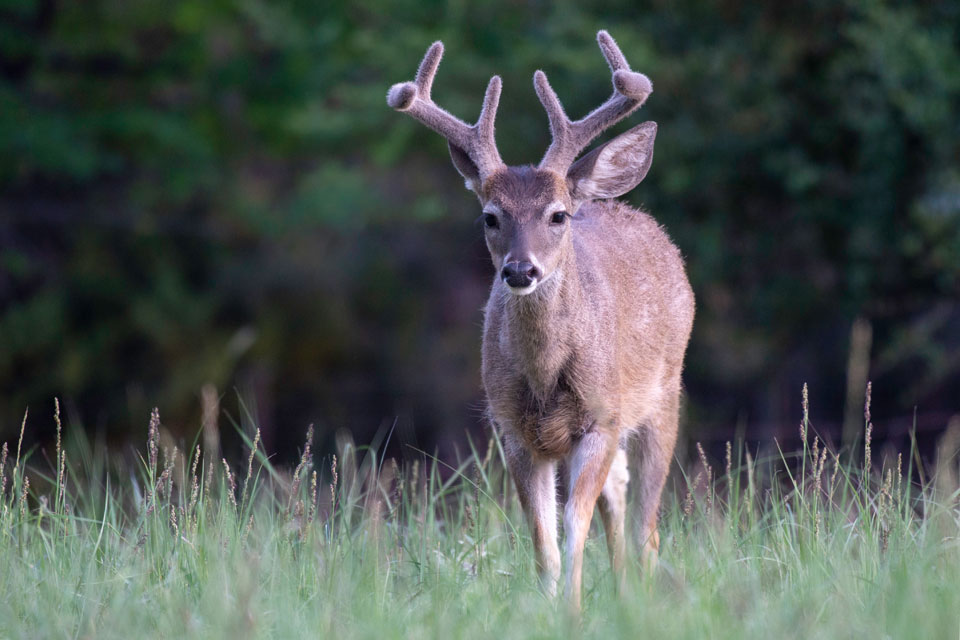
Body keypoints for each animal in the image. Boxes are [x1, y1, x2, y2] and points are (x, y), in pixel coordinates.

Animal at [386, 27, 692, 612]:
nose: (520, 270)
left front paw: (571, 612)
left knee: (647, 521)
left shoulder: (601, 417)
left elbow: (574, 527)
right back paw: (622, 591)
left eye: (557, 215)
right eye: (490, 216)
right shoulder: (513, 430)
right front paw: (551, 610)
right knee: (619, 495)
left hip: (663, 394)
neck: (547, 378)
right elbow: (542, 540)